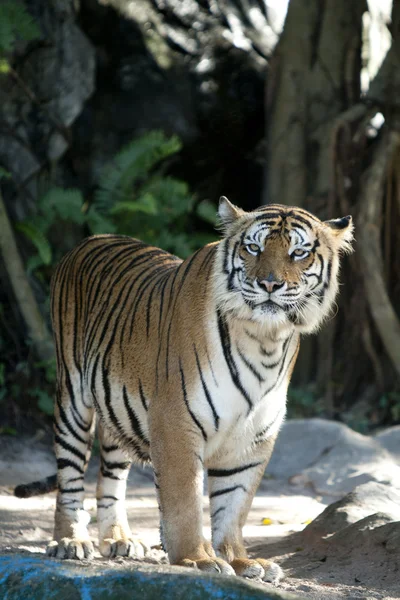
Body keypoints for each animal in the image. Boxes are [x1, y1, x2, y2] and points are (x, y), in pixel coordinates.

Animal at [14, 197, 352, 580]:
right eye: (254, 248)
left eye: (298, 253)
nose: (269, 284)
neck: (264, 338)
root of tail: (91, 238)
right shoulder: (175, 421)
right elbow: (184, 500)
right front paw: (197, 558)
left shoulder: (253, 436)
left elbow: (234, 505)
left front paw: (241, 560)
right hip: (72, 396)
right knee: (70, 472)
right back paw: (70, 540)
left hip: (117, 405)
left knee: (109, 476)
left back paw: (119, 538)